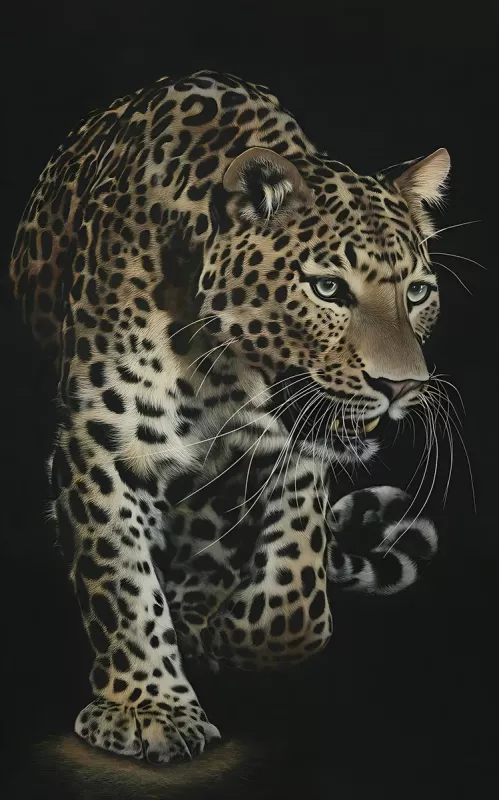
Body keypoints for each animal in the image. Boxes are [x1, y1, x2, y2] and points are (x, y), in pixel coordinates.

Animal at [9, 70, 446, 764]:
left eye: (419, 293)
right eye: (328, 289)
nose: (402, 386)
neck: (220, 369)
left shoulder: (294, 454)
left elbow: (296, 590)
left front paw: (228, 630)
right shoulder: (98, 441)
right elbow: (119, 577)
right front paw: (148, 707)